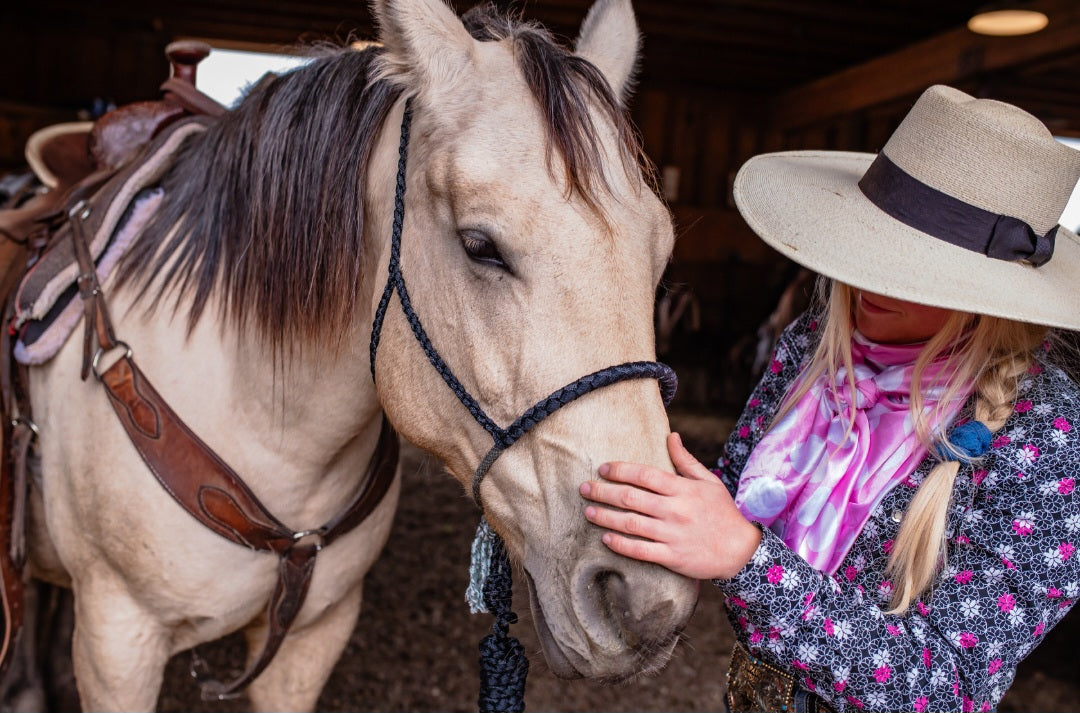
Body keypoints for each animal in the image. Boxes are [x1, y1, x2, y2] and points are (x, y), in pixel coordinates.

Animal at [23, 0, 699, 708]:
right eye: (479, 245)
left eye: (658, 259)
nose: (647, 598)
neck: (267, 426)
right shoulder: (117, 644)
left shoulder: (312, 638)